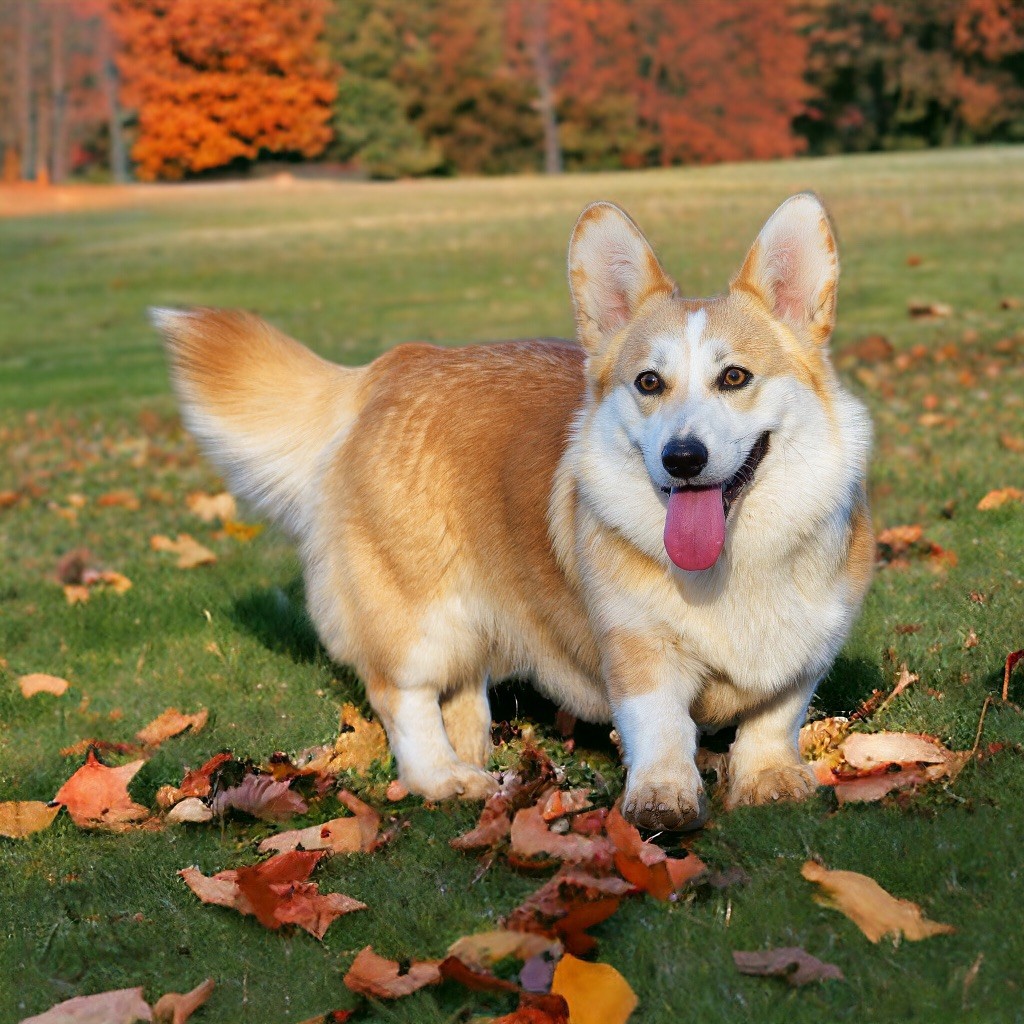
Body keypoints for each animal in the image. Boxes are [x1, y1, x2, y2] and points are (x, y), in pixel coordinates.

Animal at [155, 193, 876, 831]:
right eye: (649, 382)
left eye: (735, 378)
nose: (682, 459)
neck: (734, 559)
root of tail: (392, 368)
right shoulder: (637, 646)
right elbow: (661, 724)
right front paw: (664, 798)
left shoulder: (810, 647)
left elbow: (774, 716)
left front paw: (768, 778)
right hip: (419, 615)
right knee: (403, 695)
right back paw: (445, 777)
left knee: (460, 690)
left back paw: (476, 753)